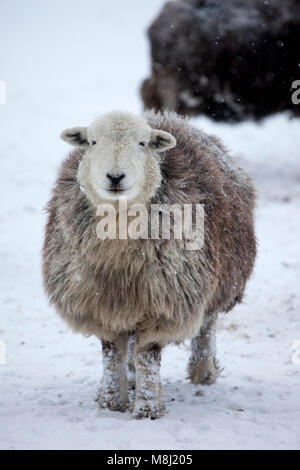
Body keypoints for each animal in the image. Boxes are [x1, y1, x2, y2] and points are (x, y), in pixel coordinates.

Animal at [42, 110, 255, 418]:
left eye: (143, 143)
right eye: (92, 142)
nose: (115, 176)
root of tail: (169, 118)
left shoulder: (166, 304)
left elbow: (148, 357)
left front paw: (146, 408)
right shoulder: (99, 304)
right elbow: (112, 354)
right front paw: (110, 404)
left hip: (217, 283)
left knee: (206, 325)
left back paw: (203, 371)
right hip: (132, 299)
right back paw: (130, 380)